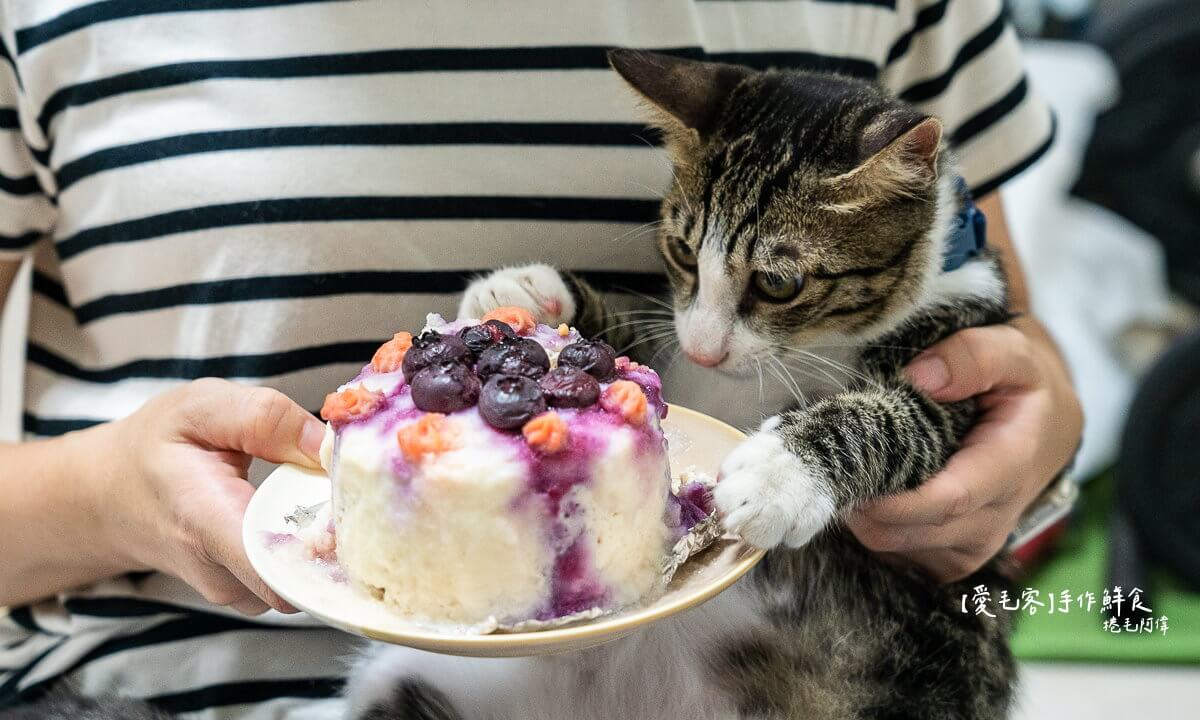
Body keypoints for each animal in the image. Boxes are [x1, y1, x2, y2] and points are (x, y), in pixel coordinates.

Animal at [348, 50, 1041, 720]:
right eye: (682, 252)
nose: (707, 347)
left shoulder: (960, 343)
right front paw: (522, 291)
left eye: (779, 283)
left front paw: (780, 472)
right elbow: (633, 348)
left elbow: (909, 417)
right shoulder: (680, 362)